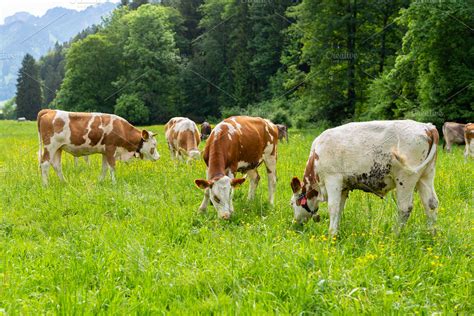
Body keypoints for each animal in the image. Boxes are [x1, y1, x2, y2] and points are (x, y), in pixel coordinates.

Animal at [290, 119, 438, 236]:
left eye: (292, 204)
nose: (295, 224)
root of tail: (427, 126)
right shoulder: (344, 187)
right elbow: (339, 209)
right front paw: (336, 234)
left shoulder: (333, 179)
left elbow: (333, 207)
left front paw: (331, 235)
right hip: (426, 175)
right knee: (431, 204)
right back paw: (432, 235)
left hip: (406, 177)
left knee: (404, 208)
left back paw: (394, 235)